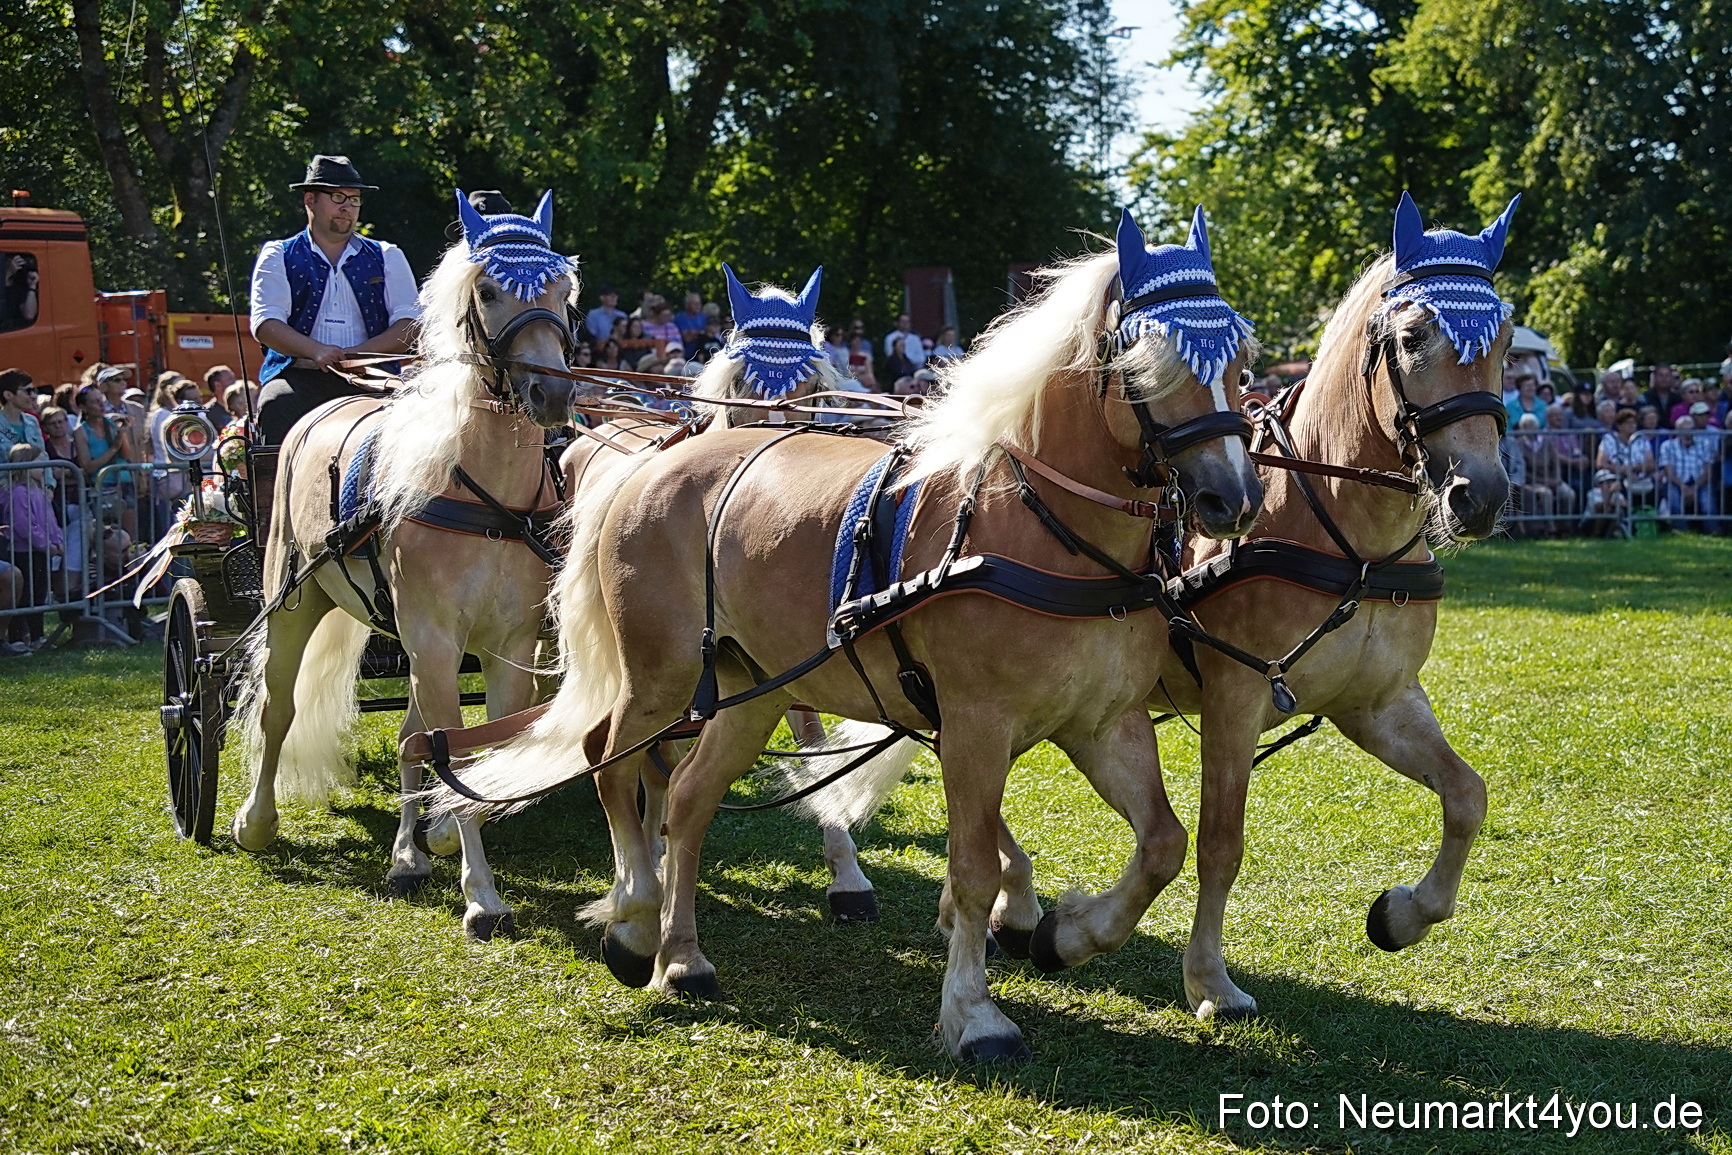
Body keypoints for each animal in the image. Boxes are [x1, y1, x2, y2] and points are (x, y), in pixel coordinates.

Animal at [229, 190, 579, 940]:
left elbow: (470, 750)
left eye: (562, 291)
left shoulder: (506, 646)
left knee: (407, 736)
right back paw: (256, 821)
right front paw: (480, 894)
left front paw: (446, 843)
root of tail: (328, 403)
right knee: (279, 708)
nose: (553, 394)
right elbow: (451, 747)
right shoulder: (437, 638)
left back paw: (408, 854)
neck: (483, 492)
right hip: (294, 601)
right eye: (489, 290)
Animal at [430, 207, 1264, 1062]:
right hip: (660, 676)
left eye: (1241, 356)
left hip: (748, 690)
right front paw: (974, 1012)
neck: (1034, 526)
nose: (1232, 498)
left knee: (688, 796)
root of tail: (643, 465)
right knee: (611, 760)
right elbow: (973, 867)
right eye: (1143, 361)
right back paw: (633, 919)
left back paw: (683, 956)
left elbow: (1164, 843)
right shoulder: (975, 725)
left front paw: (1069, 935)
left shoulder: (1102, 722)